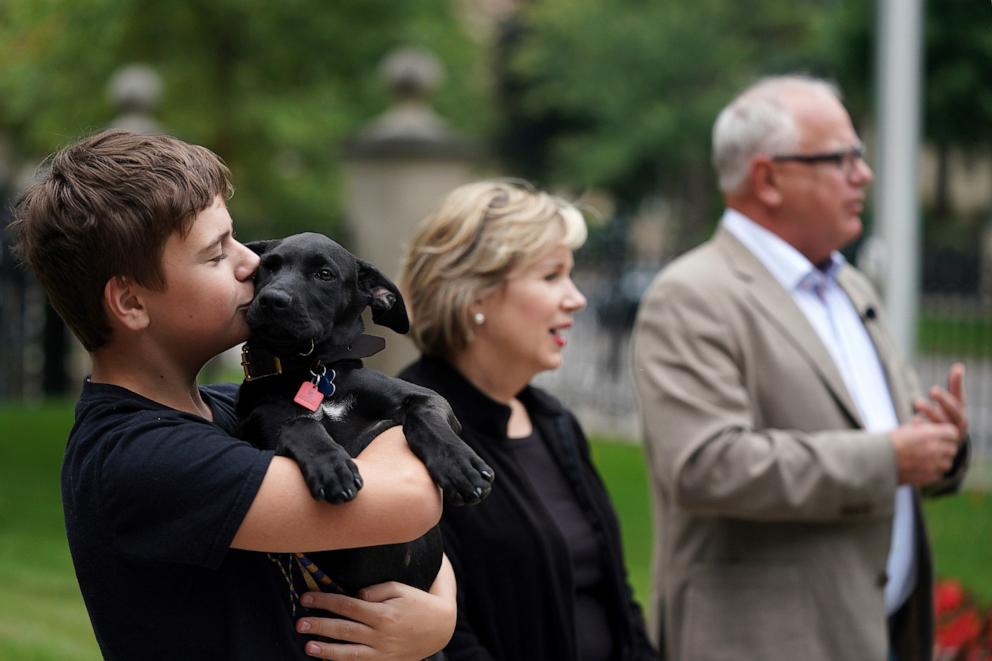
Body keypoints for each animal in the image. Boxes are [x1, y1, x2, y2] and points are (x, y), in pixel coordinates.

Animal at [236, 232, 492, 592]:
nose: (272, 300)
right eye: (268, 266)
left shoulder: (428, 398)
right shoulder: (257, 421)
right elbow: (299, 423)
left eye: (324, 275)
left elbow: (424, 420)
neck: (314, 370)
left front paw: (461, 467)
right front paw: (331, 466)